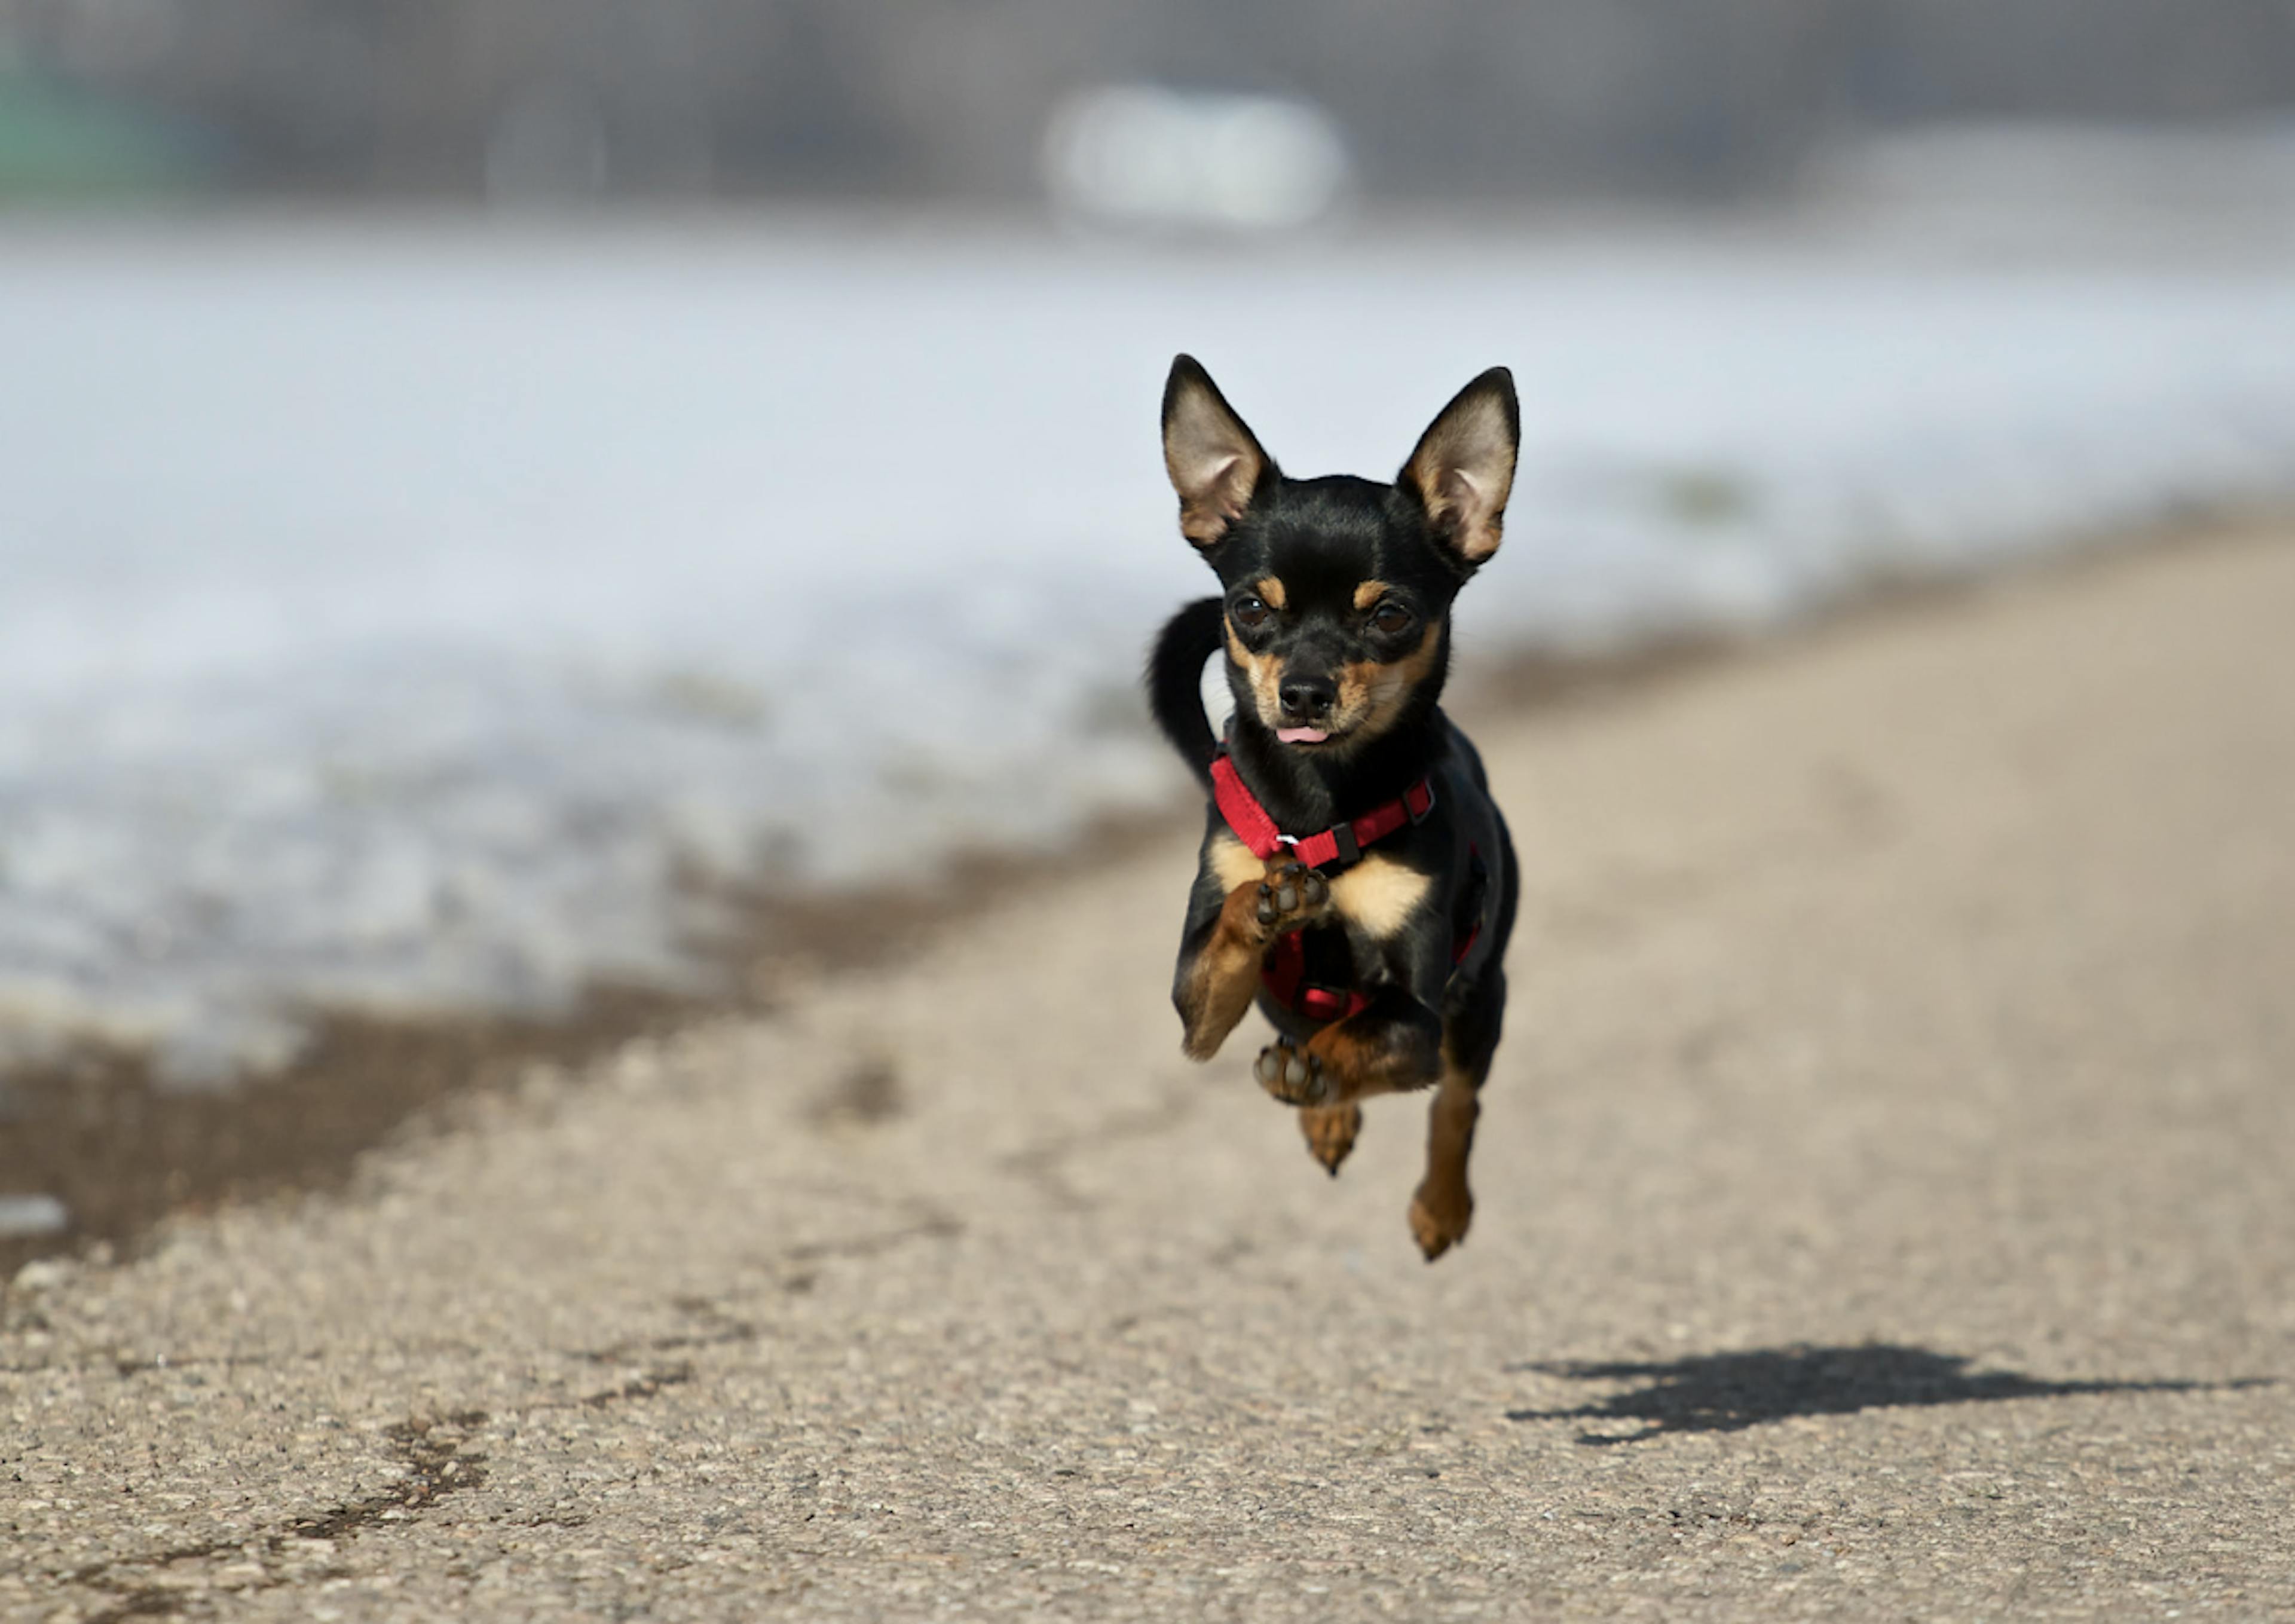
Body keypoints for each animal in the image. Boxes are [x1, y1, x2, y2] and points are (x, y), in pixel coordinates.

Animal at [1143, 355, 1523, 1266]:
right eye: (1251, 608)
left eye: (1389, 615)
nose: (1305, 691)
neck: (1319, 806)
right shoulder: (1194, 1008)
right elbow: (1225, 944)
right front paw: (1266, 903)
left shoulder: (1418, 1016)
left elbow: (1372, 1040)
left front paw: (1322, 1070)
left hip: (1480, 999)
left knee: (1456, 1102)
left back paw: (1439, 1202)